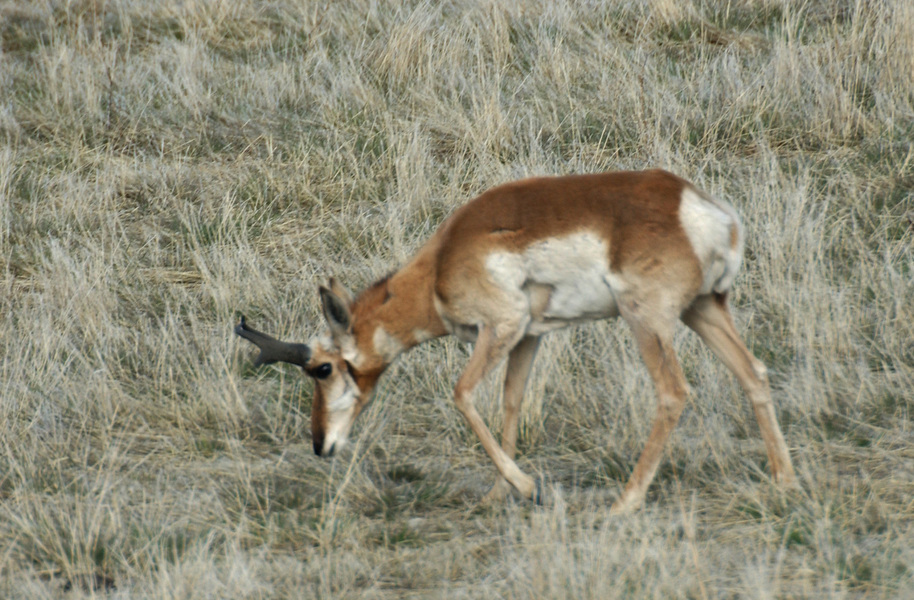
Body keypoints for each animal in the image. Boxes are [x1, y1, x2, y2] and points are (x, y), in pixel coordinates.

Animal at [239, 168, 796, 510]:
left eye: (322, 368)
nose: (319, 445)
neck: (442, 262)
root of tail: (698, 208)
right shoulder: (528, 337)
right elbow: (510, 402)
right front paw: (497, 494)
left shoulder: (502, 327)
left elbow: (463, 394)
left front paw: (528, 487)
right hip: (705, 309)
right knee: (754, 373)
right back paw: (783, 480)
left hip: (648, 321)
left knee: (674, 393)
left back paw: (624, 502)